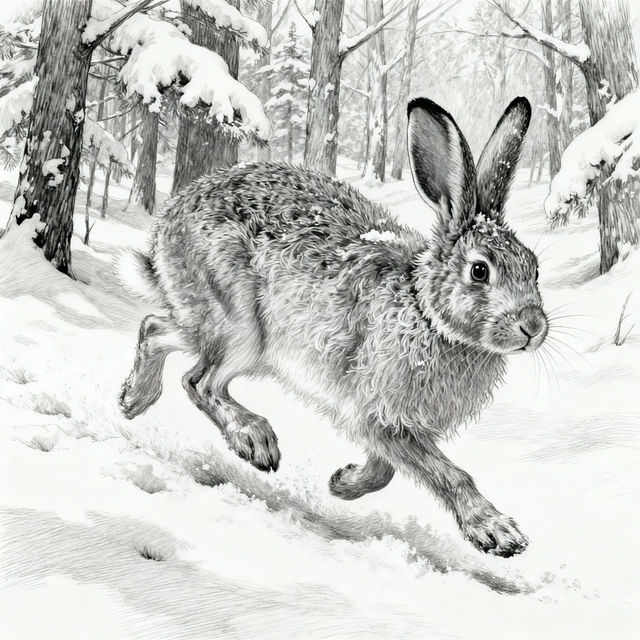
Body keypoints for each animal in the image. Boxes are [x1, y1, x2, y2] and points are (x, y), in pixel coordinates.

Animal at [119, 95, 547, 558]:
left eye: (535, 269)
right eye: (480, 271)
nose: (533, 328)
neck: (426, 311)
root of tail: (165, 228)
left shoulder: (393, 424)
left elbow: (385, 471)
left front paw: (341, 483)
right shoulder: (381, 415)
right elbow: (444, 472)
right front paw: (497, 531)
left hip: (212, 326)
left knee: (156, 328)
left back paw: (133, 399)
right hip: (241, 327)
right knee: (201, 381)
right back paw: (255, 441)